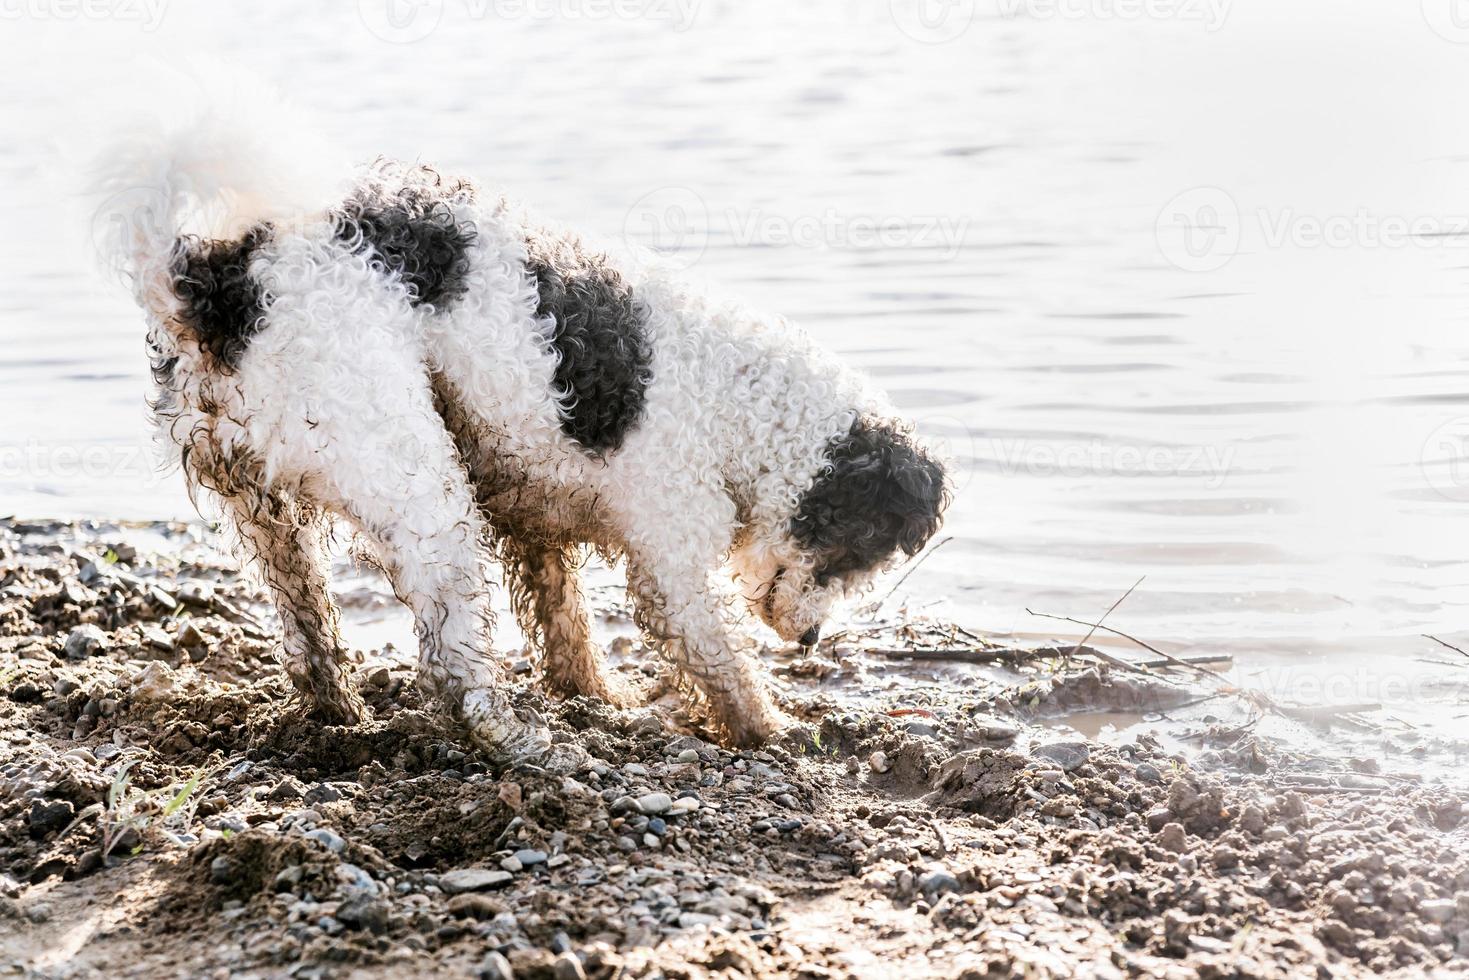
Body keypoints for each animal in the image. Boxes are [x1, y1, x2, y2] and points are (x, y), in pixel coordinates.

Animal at [97, 109, 946, 764]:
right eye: (860, 553)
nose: (809, 644)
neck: (744, 404)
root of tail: (217, 284)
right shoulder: (672, 564)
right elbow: (718, 656)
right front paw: (769, 730)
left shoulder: (537, 526)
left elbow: (564, 622)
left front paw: (595, 695)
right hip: (418, 486)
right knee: (448, 669)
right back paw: (509, 739)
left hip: (268, 515)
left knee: (308, 634)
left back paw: (337, 717)